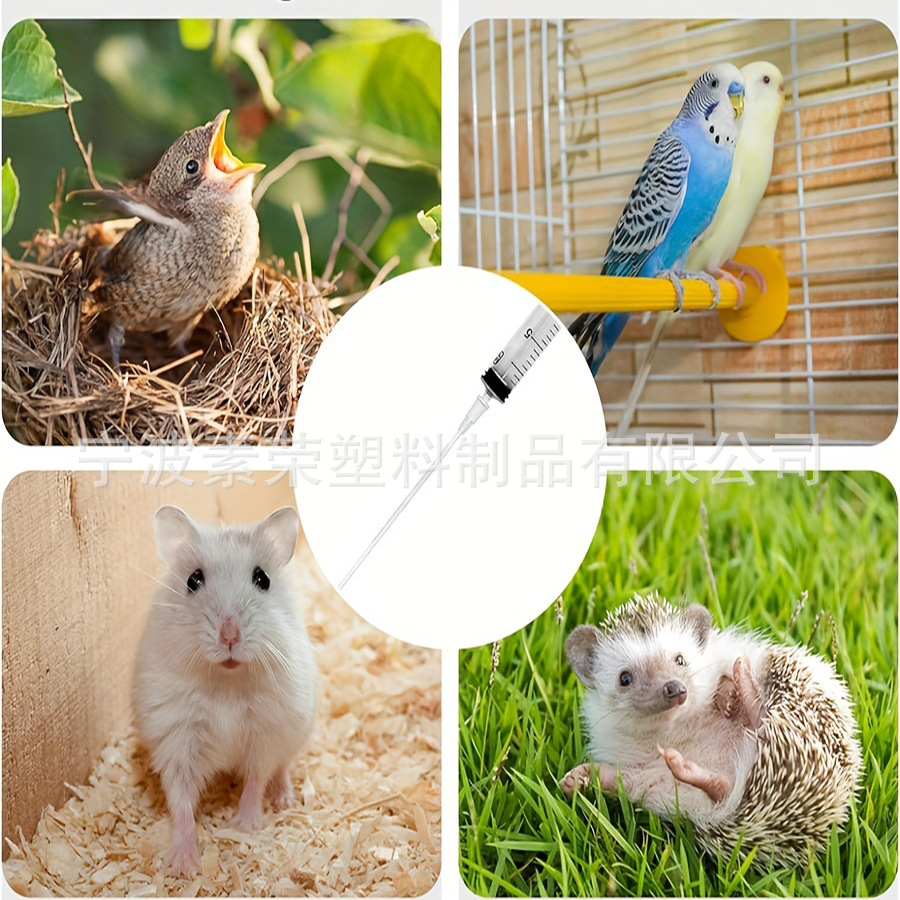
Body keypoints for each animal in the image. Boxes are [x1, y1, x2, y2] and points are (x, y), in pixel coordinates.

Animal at [133, 506, 317, 875]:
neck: (227, 682)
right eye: (193, 580)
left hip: (294, 733)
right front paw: (184, 864)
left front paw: (244, 826)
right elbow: (181, 800)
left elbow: (256, 778)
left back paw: (283, 799)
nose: (229, 635)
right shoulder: (178, 740)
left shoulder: (266, 734)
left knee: (282, 767)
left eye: (263, 579)